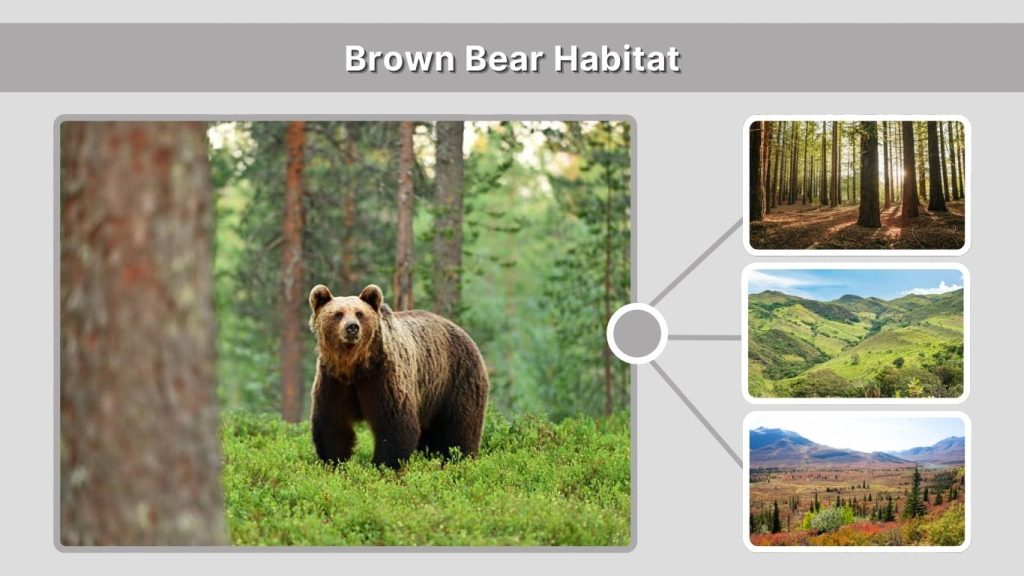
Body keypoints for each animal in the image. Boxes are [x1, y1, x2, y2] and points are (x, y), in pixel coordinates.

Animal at [308, 283, 490, 469]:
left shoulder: (383, 377)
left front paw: (383, 466)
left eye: (359, 313)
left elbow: (395, 424)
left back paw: (459, 459)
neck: (355, 366)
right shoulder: (333, 381)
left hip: (456, 379)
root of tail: (463, 332)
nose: (352, 327)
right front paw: (335, 462)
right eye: (338, 314)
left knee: (459, 428)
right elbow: (333, 425)